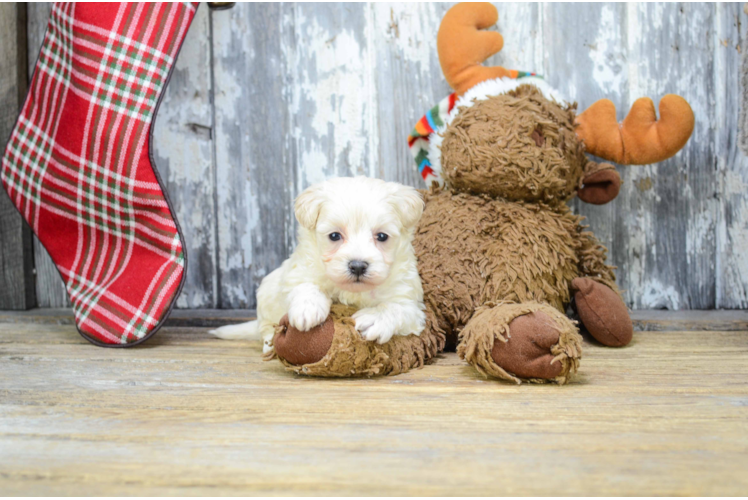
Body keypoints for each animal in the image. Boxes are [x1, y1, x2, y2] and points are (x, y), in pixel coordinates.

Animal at [209, 176, 426, 352]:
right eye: (334, 236)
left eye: (382, 236)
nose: (357, 266)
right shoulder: (299, 272)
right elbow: (305, 286)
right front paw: (308, 309)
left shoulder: (411, 303)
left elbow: (397, 308)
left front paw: (375, 318)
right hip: (265, 295)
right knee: (265, 327)